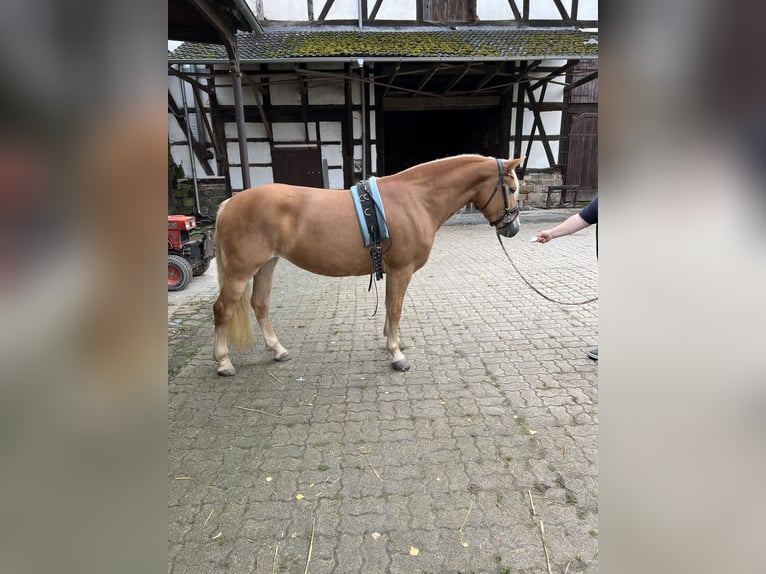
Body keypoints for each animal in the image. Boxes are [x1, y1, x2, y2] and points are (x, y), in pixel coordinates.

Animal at [212, 154, 520, 378]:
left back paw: (278, 350)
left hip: (267, 265)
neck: (415, 199)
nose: (513, 228)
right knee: (222, 309)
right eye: (513, 188)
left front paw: (392, 342)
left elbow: (390, 307)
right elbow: (395, 309)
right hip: (241, 272)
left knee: (260, 304)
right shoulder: (402, 270)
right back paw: (224, 362)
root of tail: (228, 204)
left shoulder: (392, 271)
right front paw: (396, 355)